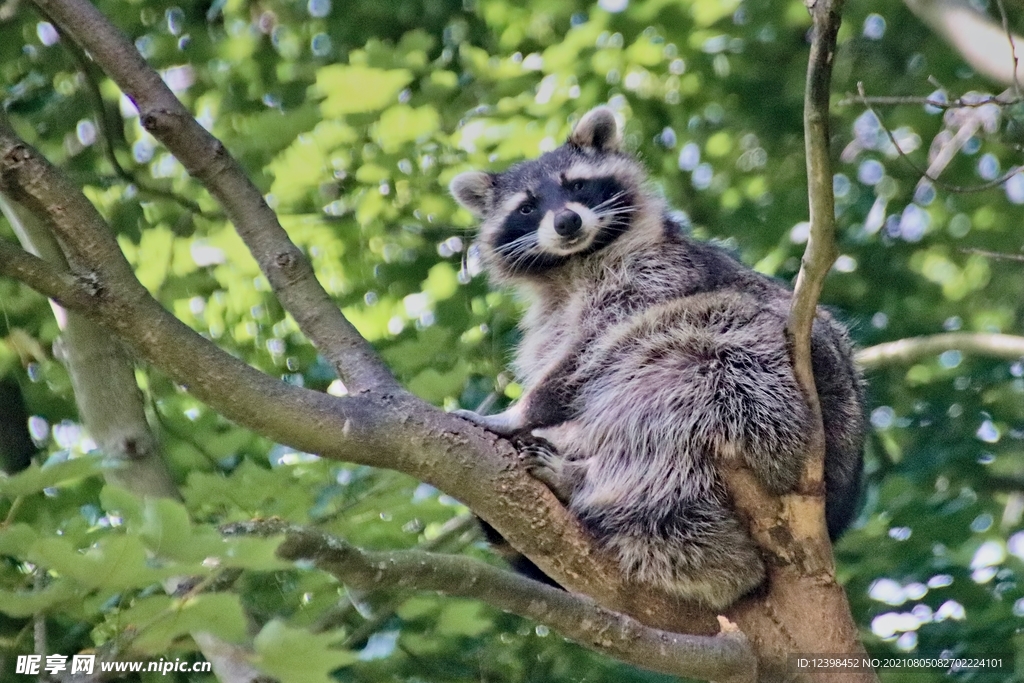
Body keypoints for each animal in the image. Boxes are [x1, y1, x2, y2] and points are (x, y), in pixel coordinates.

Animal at [448, 107, 864, 610]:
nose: (566, 222)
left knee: (670, 391)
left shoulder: (658, 275)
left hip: (771, 397)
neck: (574, 265)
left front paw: (518, 412)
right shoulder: (551, 319)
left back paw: (585, 480)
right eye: (527, 207)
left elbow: (588, 358)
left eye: (577, 185)